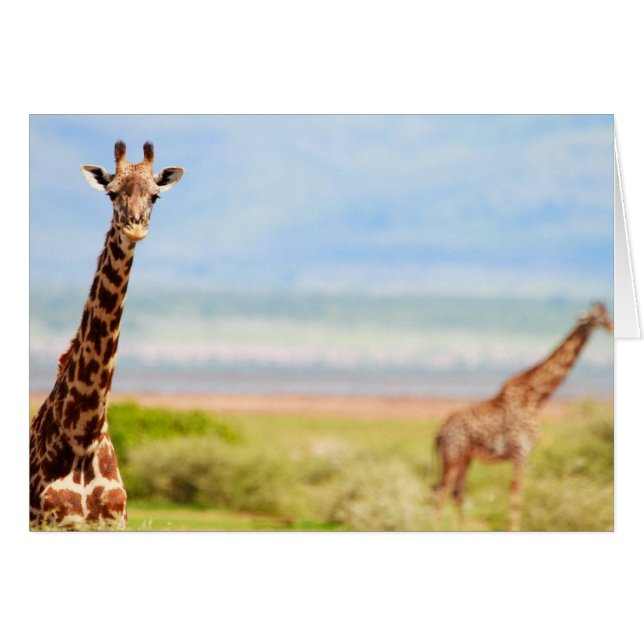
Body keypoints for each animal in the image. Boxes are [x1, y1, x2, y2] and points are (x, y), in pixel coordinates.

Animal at [30, 141, 184, 530]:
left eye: (155, 196)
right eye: (111, 193)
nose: (135, 227)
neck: (82, 435)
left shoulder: (114, 523)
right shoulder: (46, 523)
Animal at [433, 302, 613, 531]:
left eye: (608, 313)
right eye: (596, 317)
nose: (611, 327)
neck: (536, 398)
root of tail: (439, 434)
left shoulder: (521, 454)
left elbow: (516, 496)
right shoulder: (521, 452)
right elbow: (516, 497)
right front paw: (513, 529)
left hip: (465, 458)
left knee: (457, 493)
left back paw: (461, 527)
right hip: (453, 457)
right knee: (441, 491)